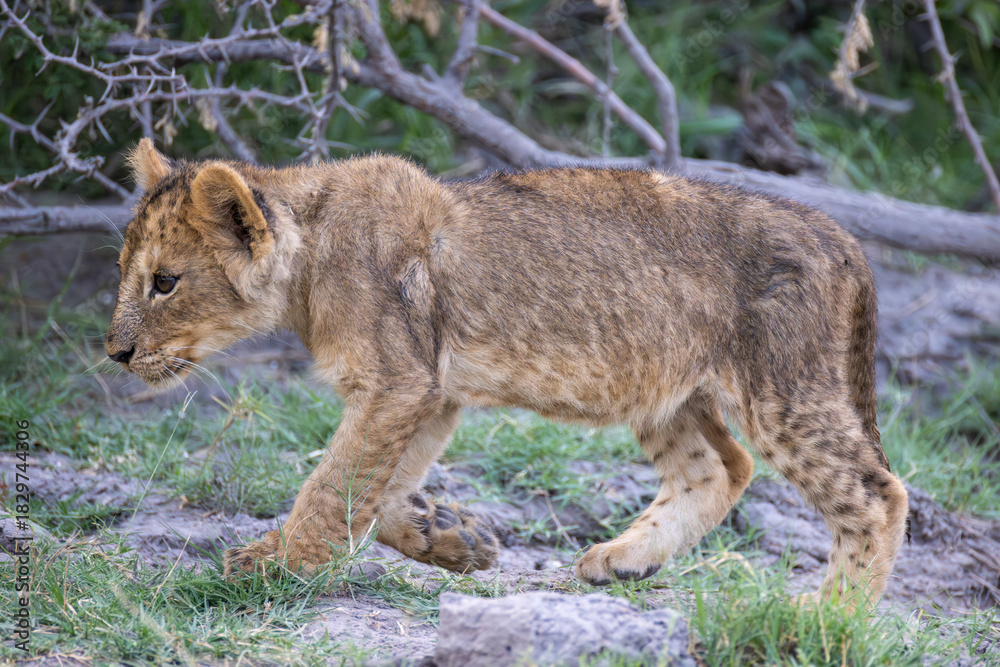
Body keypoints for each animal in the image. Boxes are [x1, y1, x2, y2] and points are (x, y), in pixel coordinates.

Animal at [106, 138, 907, 610]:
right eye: (126, 273)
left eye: (165, 283)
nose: (114, 352)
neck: (311, 250)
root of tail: (840, 234)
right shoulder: (430, 392)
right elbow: (375, 484)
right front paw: (450, 537)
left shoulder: (399, 381)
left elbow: (332, 482)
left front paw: (275, 566)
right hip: (664, 387)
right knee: (720, 466)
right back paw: (622, 561)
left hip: (785, 387)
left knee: (876, 493)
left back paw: (832, 619)